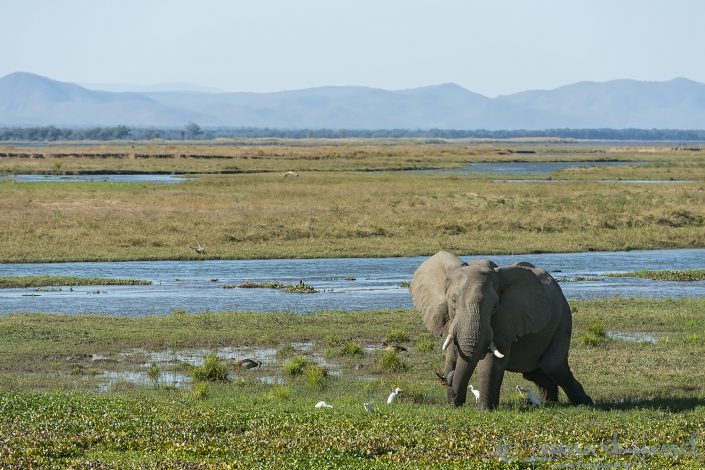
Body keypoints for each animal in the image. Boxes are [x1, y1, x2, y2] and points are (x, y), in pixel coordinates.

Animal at [410, 251, 593, 409]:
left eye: (495, 306)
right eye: (453, 301)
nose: (447, 379)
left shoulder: (505, 319)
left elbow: (491, 361)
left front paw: (485, 409)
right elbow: (452, 355)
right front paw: (453, 404)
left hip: (563, 318)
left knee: (553, 365)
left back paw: (584, 402)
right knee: (534, 372)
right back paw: (549, 402)